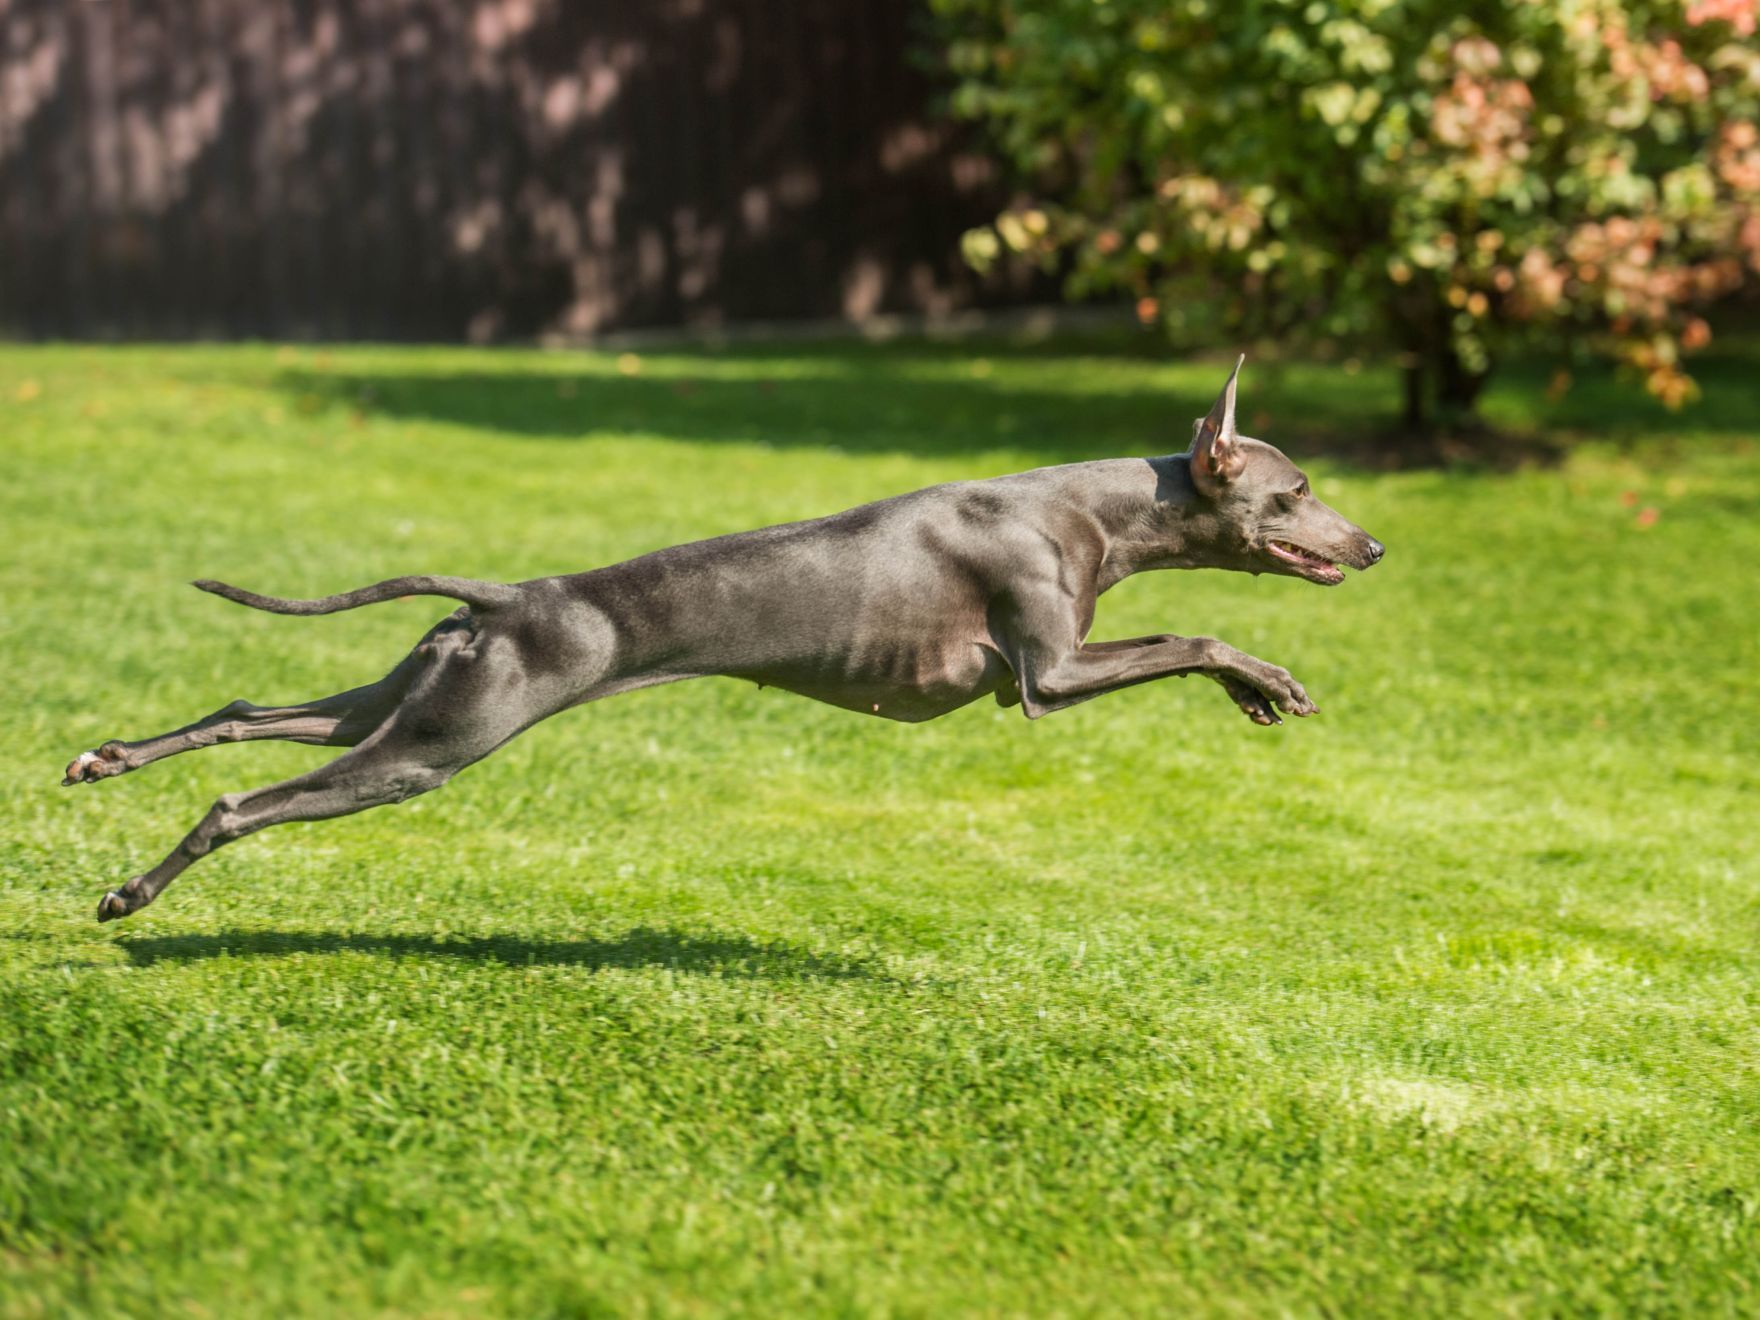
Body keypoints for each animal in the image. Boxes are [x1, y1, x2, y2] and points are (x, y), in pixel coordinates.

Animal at [68, 357, 1379, 922]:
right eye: (1297, 488)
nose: (1370, 549)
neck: (1094, 508)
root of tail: (508, 596)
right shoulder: (1043, 677)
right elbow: (1193, 630)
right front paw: (1264, 682)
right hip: (429, 749)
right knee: (241, 803)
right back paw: (129, 897)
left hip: (407, 698)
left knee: (244, 712)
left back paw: (103, 759)